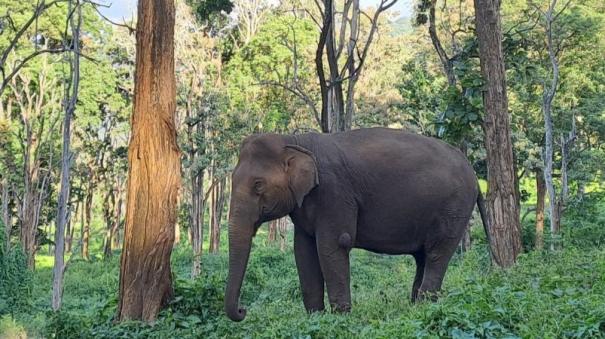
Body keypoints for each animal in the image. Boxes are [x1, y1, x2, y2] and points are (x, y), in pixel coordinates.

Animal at [224, 127, 488, 322]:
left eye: (258, 185)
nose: (243, 310)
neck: (293, 140)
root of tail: (475, 176)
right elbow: (303, 251)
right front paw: (315, 320)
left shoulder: (334, 193)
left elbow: (333, 245)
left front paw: (340, 320)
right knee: (423, 257)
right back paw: (415, 308)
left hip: (453, 209)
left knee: (436, 254)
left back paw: (425, 307)